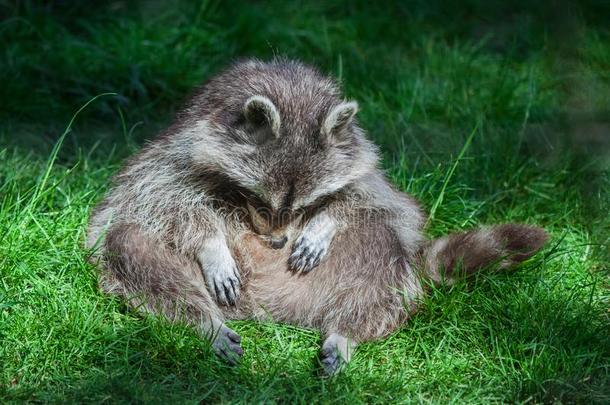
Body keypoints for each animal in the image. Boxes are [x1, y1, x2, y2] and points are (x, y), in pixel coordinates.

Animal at [85, 58, 548, 374]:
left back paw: (345, 332)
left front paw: (324, 222)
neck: (292, 92)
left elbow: (376, 199)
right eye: (257, 198)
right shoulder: (177, 150)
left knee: (383, 258)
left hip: (362, 267)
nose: (276, 243)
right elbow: (164, 198)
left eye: (306, 206)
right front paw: (212, 246)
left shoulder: (359, 155)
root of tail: (271, 310)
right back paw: (206, 323)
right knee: (133, 246)